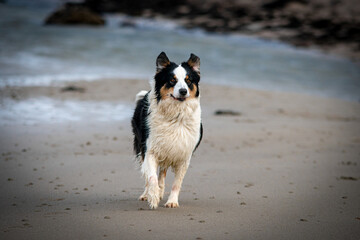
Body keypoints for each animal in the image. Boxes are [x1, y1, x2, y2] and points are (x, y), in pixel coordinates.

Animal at [131, 52, 202, 208]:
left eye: (188, 80)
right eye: (172, 80)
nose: (183, 91)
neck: (176, 114)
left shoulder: (183, 154)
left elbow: (176, 183)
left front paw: (172, 201)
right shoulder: (150, 149)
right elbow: (151, 176)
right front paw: (153, 197)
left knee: (162, 172)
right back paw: (147, 194)